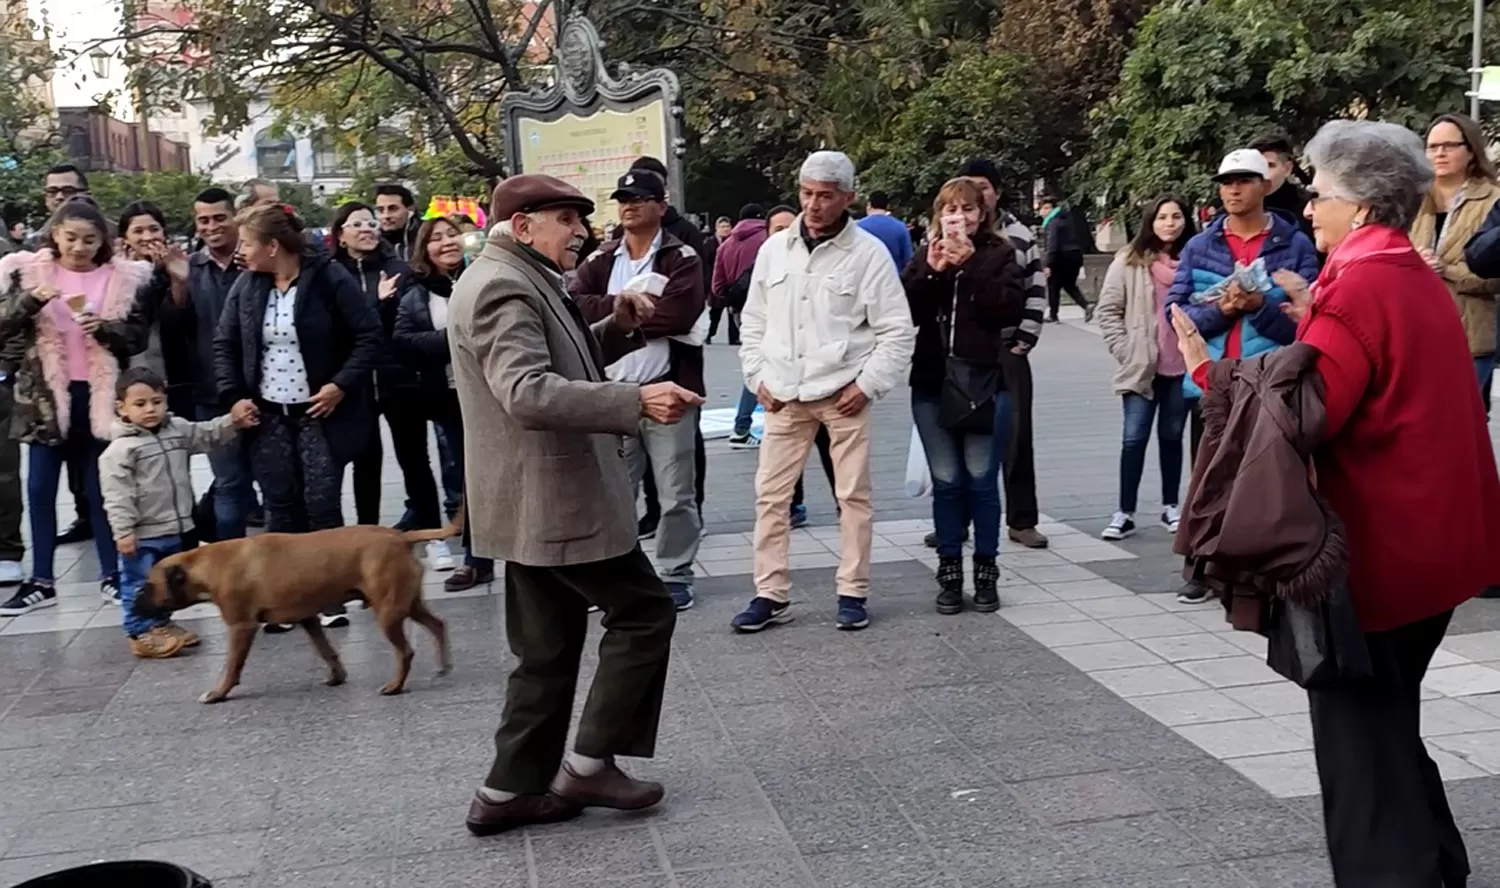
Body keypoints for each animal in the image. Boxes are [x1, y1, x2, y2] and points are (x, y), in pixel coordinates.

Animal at [140, 519, 456, 702]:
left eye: (148, 586)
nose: (134, 600)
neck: (206, 564)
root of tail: (400, 536)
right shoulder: (308, 619)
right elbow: (327, 651)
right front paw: (337, 676)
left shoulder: (241, 627)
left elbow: (232, 666)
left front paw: (219, 692)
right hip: (408, 604)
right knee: (438, 624)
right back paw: (443, 665)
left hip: (389, 612)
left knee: (406, 652)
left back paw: (395, 686)